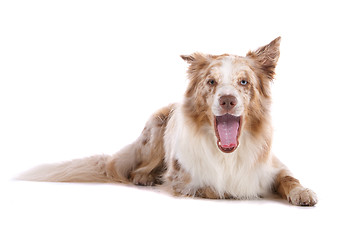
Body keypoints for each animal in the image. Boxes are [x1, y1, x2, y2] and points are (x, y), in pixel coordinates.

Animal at [19, 37, 318, 206]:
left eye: (244, 82)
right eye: (211, 82)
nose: (227, 101)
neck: (228, 156)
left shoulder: (273, 166)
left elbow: (289, 177)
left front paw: (303, 192)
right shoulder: (182, 179)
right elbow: (213, 188)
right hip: (154, 129)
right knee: (136, 170)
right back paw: (145, 177)